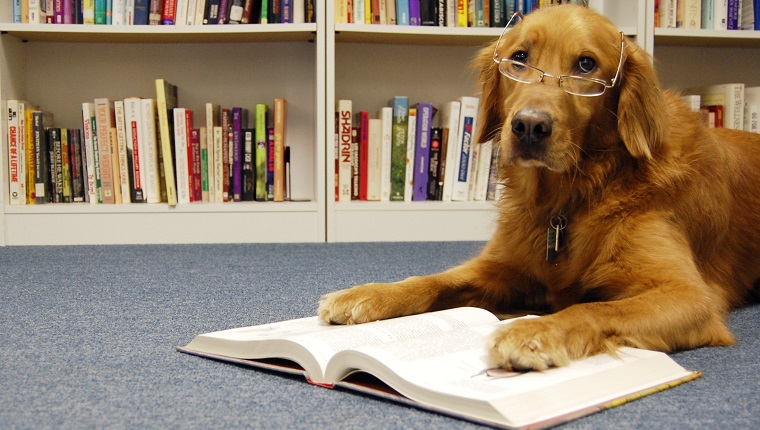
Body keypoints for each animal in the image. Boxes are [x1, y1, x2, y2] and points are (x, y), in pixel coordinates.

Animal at [318, 5, 756, 372]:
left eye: (586, 64)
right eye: (519, 58)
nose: (529, 126)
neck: (567, 198)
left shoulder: (689, 296)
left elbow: (593, 309)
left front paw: (534, 331)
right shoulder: (503, 266)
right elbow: (432, 280)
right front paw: (370, 294)